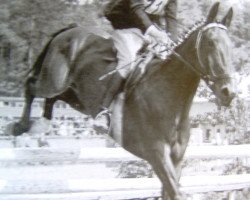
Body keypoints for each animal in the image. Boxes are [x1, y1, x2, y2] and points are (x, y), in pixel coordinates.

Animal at [10, 1, 236, 200]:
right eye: (210, 44)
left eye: (231, 45)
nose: (229, 93)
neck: (169, 99)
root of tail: (69, 31)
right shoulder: (157, 155)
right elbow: (176, 193)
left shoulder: (176, 158)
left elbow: (170, 192)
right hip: (53, 81)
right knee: (30, 86)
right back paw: (20, 126)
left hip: (71, 93)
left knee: (50, 99)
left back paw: (41, 126)